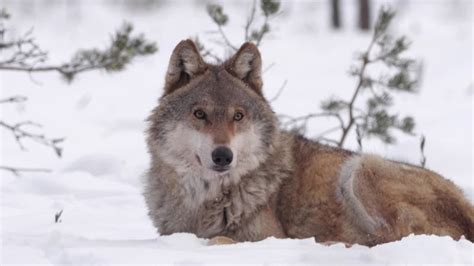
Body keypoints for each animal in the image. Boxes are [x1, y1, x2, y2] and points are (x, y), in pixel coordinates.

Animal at [144, 40, 474, 247]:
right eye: (199, 114)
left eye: (238, 115)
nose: (223, 156)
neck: (205, 199)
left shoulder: (269, 235)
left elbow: (224, 239)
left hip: (360, 168)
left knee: (390, 238)